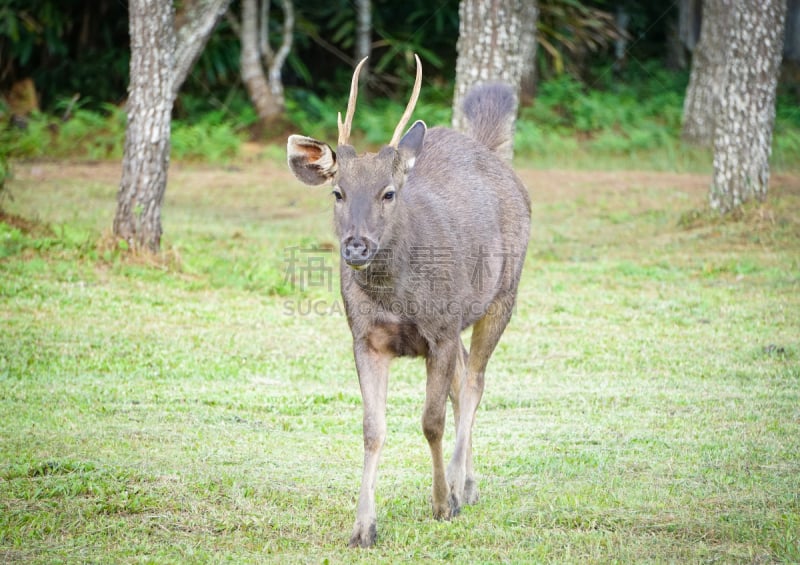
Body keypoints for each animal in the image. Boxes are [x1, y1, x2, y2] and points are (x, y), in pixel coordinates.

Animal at [288, 56, 532, 548]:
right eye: (337, 192)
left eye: (388, 192)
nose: (356, 245)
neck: (397, 298)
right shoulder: (366, 338)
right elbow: (372, 429)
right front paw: (363, 526)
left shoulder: (439, 332)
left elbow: (430, 421)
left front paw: (441, 504)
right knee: (464, 379)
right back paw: (469, 485)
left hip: (502, 296)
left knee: (475, 382)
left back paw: (459, 486)